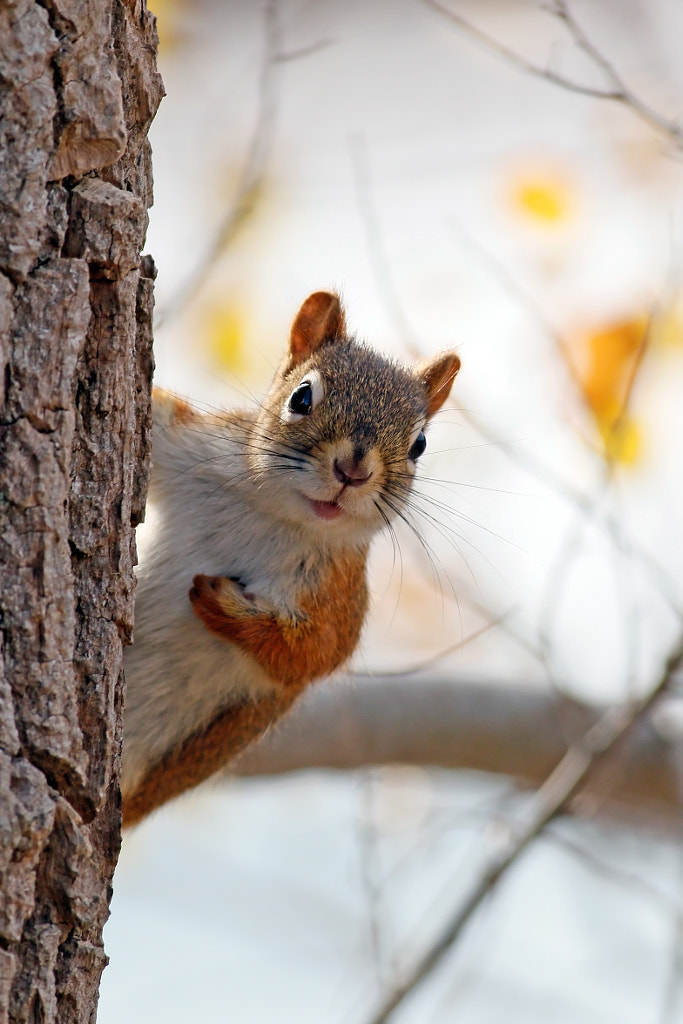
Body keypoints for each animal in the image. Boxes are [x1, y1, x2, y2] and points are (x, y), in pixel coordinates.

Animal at [122, 288, 462, 823]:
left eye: (420, 444)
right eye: (302, 396)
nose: (352, 470)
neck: (276, 515)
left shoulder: (340, 596)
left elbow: (314, 654)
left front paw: (229, 609)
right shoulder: (193, 447)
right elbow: (157, 418)